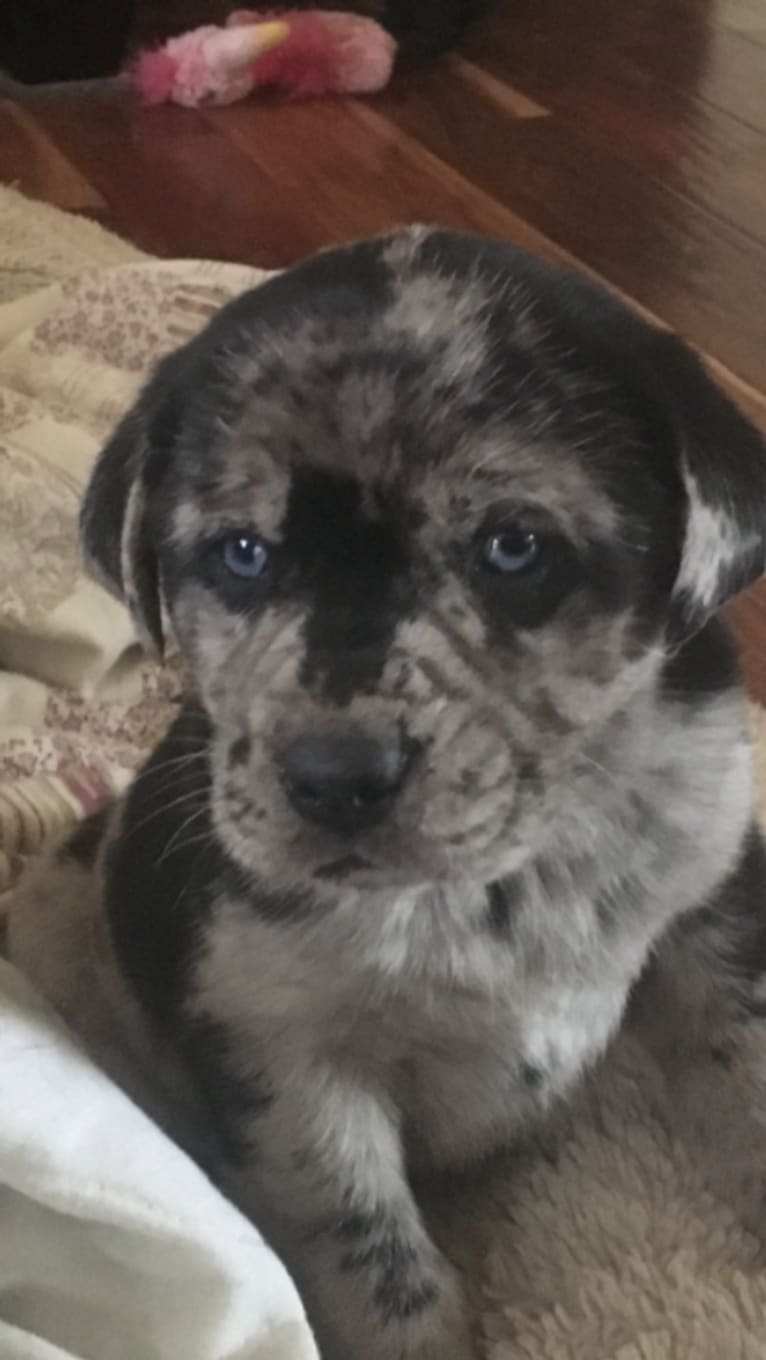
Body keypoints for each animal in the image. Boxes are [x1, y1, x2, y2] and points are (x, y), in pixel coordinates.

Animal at [13, 228, 766, 1354]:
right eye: (243, 554)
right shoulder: (285, 1057)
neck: (503, 878)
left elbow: (752, 1071)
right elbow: (374, 1259)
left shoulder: (715, 894)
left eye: (512, 546)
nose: (335, 781)